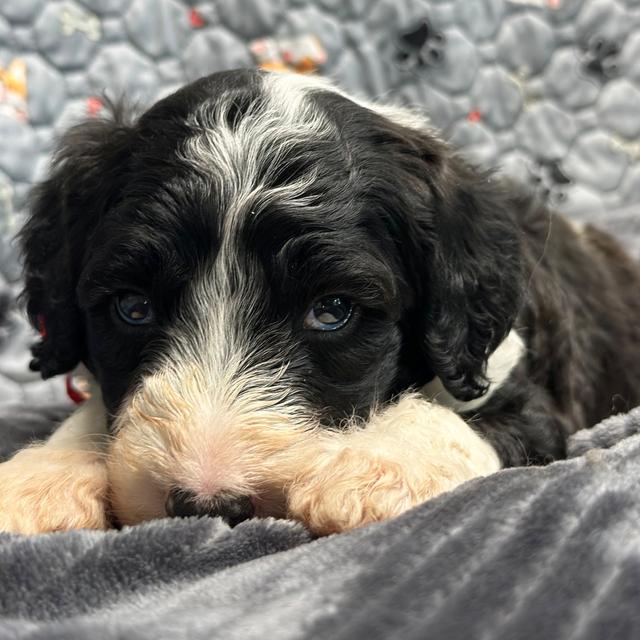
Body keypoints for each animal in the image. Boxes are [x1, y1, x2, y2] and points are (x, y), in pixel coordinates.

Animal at [1, 70, 640, 536]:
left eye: (331, 311)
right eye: (133, 308)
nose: (208, 505)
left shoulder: (524, 390)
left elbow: (462, 418)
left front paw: (375, 468)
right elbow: (95, 410)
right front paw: (39, 479)